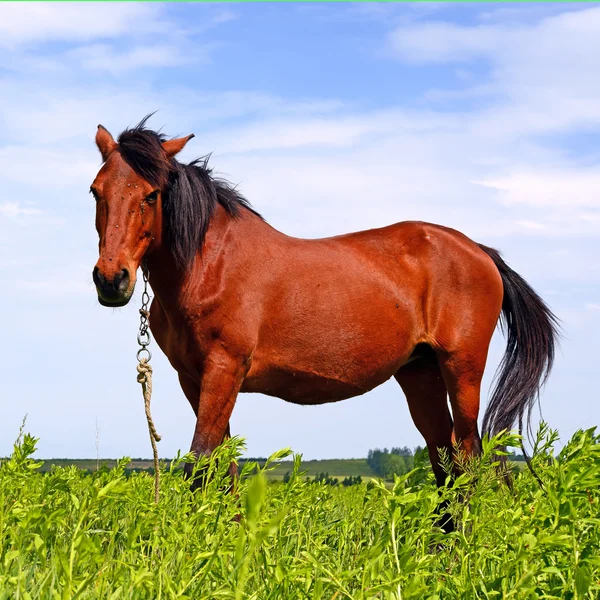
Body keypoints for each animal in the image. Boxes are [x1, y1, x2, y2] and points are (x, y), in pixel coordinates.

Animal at [90, 115, 556, 516]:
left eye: (151, 194)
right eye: (96, 191)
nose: (111, 279)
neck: (211, 264)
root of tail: (480, 252)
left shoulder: (224, 369)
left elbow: (201, 461)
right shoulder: (195, 378)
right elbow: (225, 466)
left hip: (462, 369)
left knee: (468, 459)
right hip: (419, 373)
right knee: (443, 461)